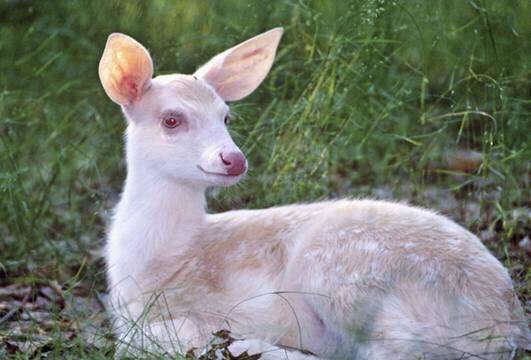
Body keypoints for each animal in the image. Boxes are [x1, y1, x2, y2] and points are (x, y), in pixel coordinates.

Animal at [98, 26, 528, 358]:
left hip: (340, 273)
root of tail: (505, 327)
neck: (168, 254)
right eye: (171, 120)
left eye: (226, 116)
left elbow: (145, 338)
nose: (233, 159)